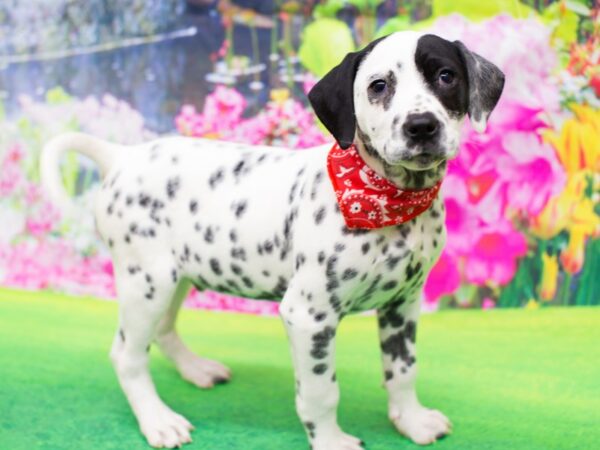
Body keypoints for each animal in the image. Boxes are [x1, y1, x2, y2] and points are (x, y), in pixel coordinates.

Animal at [39, 29, 504, 448]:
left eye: (445, 76)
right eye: (378, 86)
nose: (421, 126)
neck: (388, 199)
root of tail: (122, 155)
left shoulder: (402, 304)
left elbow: (402, 370)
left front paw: (411, 421)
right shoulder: (309, 315)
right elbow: (320, 391)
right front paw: (331, 441)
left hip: (174, 276)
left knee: (164, 331)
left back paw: (196, 369)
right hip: (147, 281)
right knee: (128, 356)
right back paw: (158, 421)